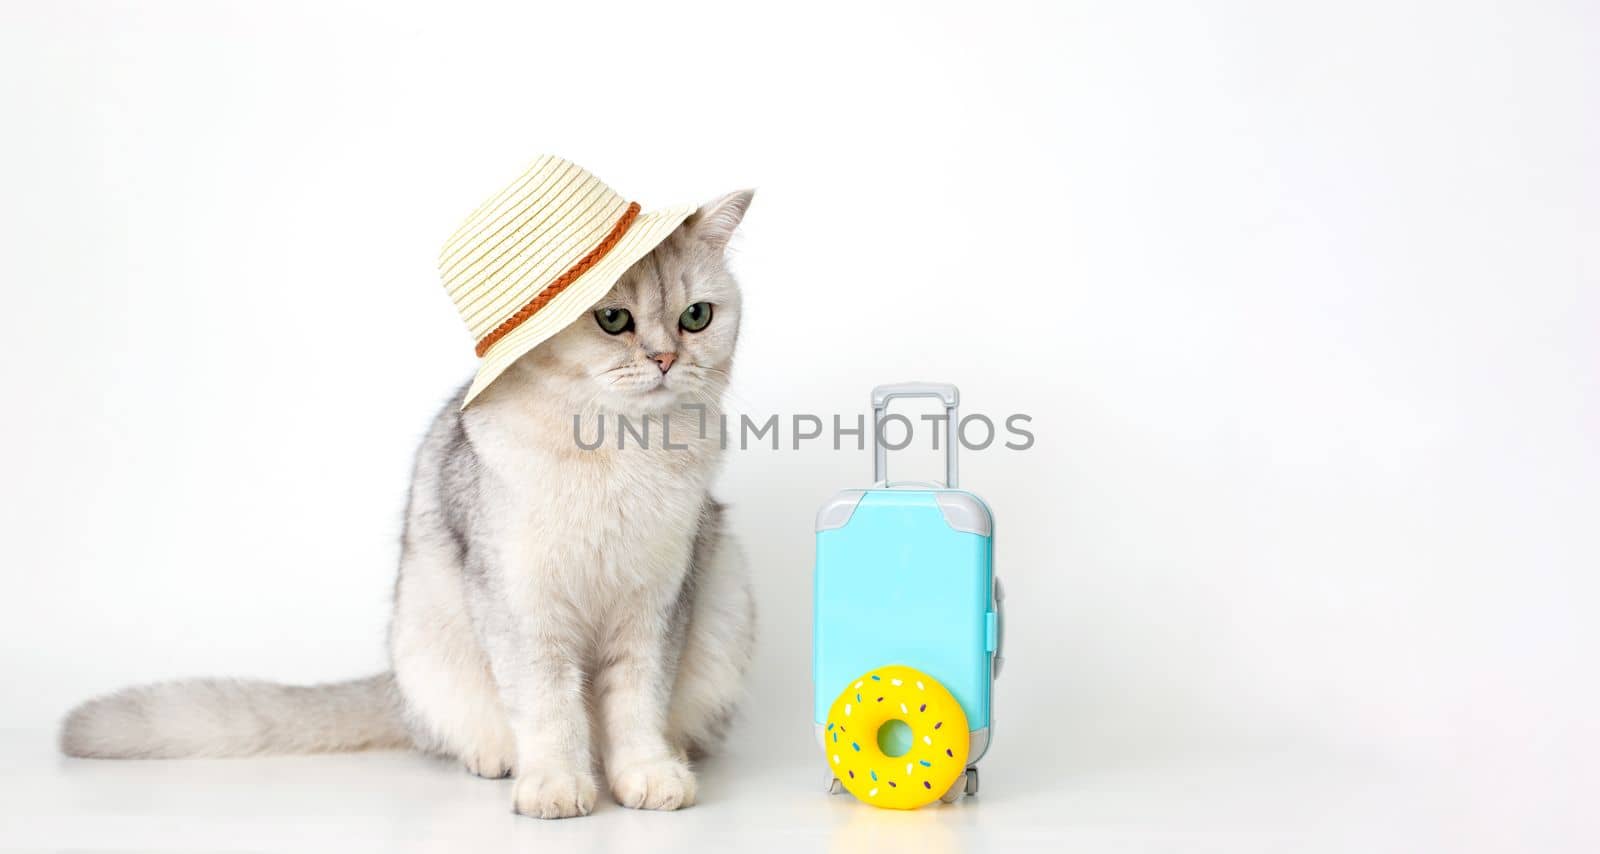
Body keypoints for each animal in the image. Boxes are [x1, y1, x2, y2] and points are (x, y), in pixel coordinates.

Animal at [60, 189, 755, 825]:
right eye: (612, 320)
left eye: (696, 316)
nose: (666, 359)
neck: (618, 452)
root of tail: (394, 688)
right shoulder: (522, 607)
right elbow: (550, 706)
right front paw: (557, 782)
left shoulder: (658, 600)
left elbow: (638, 702)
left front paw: (646, 773)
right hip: (428, 635)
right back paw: (499, 758)